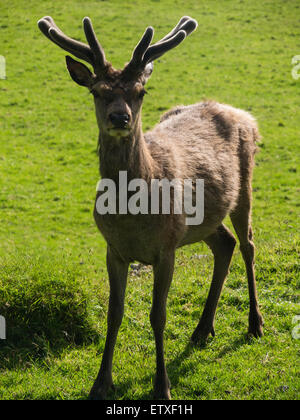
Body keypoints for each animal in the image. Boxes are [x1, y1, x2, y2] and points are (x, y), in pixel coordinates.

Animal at [38, 13, 264, 400]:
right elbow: (114, 313)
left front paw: (162, 386)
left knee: (248, 243)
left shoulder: (166, 248)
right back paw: (202, 330)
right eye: (97, 91)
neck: (132, 217)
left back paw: (254, 324)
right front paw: (101, 382)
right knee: (225, 243)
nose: (119, 118)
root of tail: (243, 114)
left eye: (140, 92)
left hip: (244, 185)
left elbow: (158, 315)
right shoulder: (113, 250)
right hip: (200, 220)